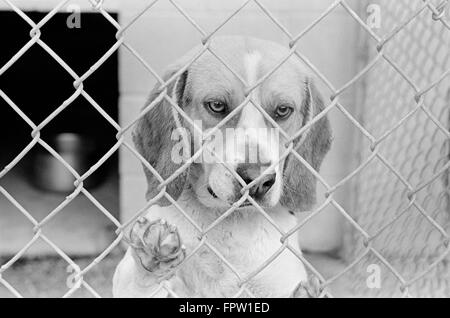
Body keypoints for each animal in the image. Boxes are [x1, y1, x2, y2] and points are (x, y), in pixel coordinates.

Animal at [112, 36, 330, 296]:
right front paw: (152, 256)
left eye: (283, 110)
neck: (228, 223)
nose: (257, 180)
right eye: (216, 105)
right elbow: (140, 283)